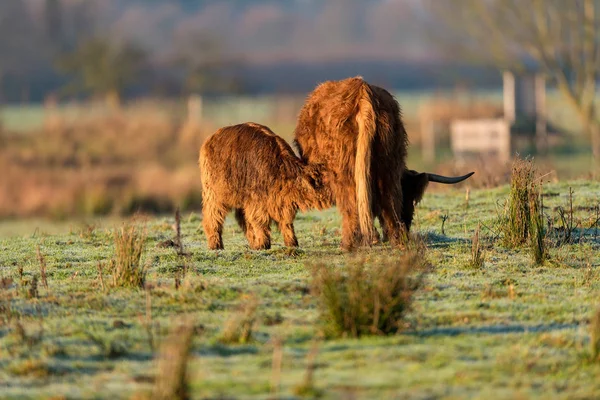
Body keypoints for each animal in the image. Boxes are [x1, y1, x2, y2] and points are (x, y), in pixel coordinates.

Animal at [199, 122, 330, 250]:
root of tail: (210, 138)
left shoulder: (280, 201)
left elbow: (286, 222)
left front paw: (292, 242)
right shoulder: (257, 199)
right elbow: (260, 221)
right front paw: (264, 244)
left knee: (243, 219)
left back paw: (253, 244)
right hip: (213, 191)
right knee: (213, 216)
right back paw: (216, 245)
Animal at [296, 76, 474, 248]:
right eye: (409, 199)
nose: (407, 223)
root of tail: (363, 92)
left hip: (345, 168)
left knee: (351, 200)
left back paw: (350, 243)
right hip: (389, 161)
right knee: (389, 197)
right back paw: (396, 238)